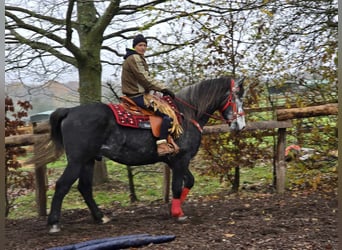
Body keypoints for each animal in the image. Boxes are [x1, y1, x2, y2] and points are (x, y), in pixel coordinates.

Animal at [39, 75, 246, 232]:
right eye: (236, 99)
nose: (241, 125)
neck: (186, 115)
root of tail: (69, 111)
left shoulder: (175, 161)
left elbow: (189, 182)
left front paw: (174, 208)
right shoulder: (181, 159)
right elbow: (177, 186)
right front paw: (177, 213)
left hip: (88, 161)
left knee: (84, 188)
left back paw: (100, 217)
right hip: (77, 161)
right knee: (62, 185)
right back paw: (54, 223)